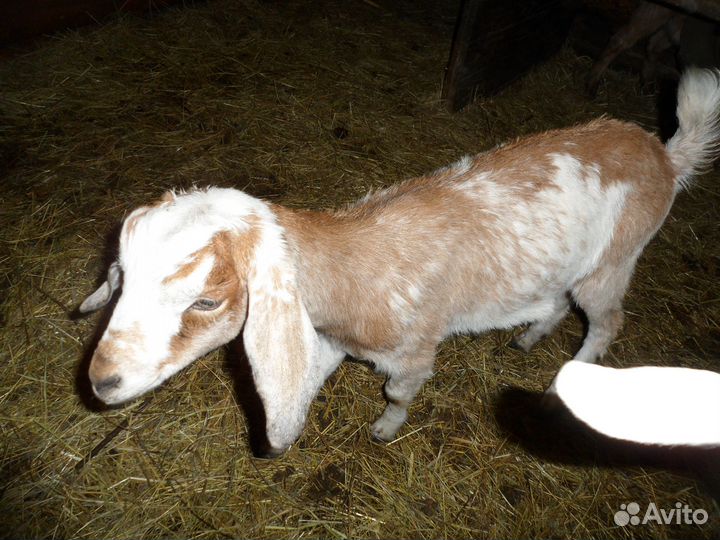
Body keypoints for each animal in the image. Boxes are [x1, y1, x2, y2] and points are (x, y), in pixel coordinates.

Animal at [79, 68, 720, 457]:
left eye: (208, 300)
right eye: (121, 276)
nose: (101, 381)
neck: (348, 275)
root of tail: (665, 155)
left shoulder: (414, 350)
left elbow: (397, 394)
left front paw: (385, 430)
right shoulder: (327, 337)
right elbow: (308, 377)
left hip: (615, 261)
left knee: (606, 322)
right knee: (558, 302)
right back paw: (528, 337)